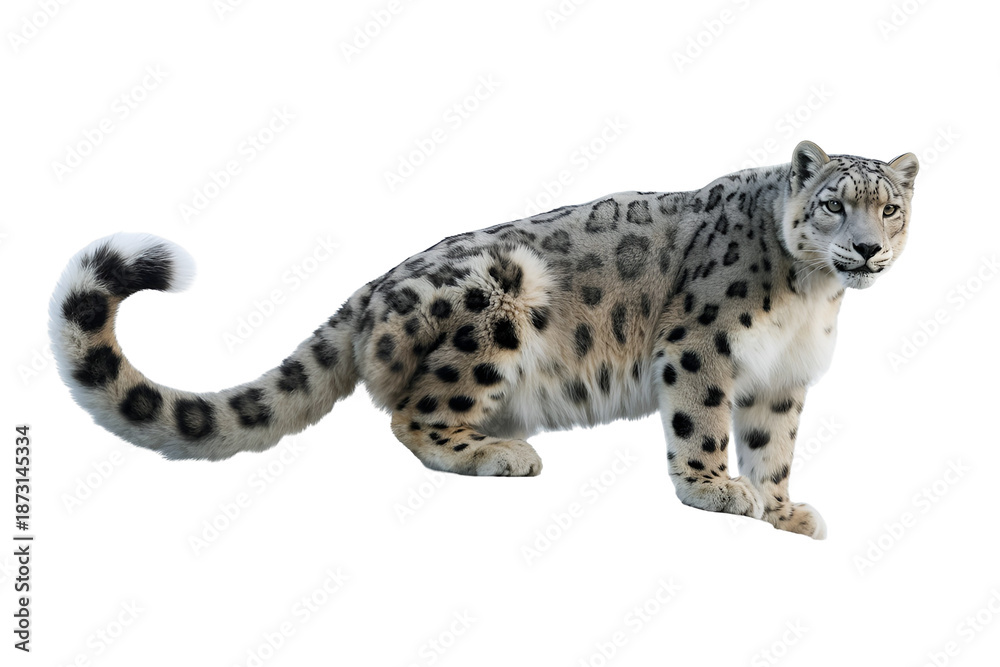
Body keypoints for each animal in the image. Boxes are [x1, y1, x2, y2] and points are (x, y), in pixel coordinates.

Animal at [49, 140, 918, 539]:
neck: (812, 297)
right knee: (412, 414)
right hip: (494, 297)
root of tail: (372, 287)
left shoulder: (781, 379)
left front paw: (784, 508)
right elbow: (702, 421)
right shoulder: (701, 346)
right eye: (834, 202)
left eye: (890, 206)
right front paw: (716, 489)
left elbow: (774, 443)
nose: (867, 248)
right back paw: (500, 452)